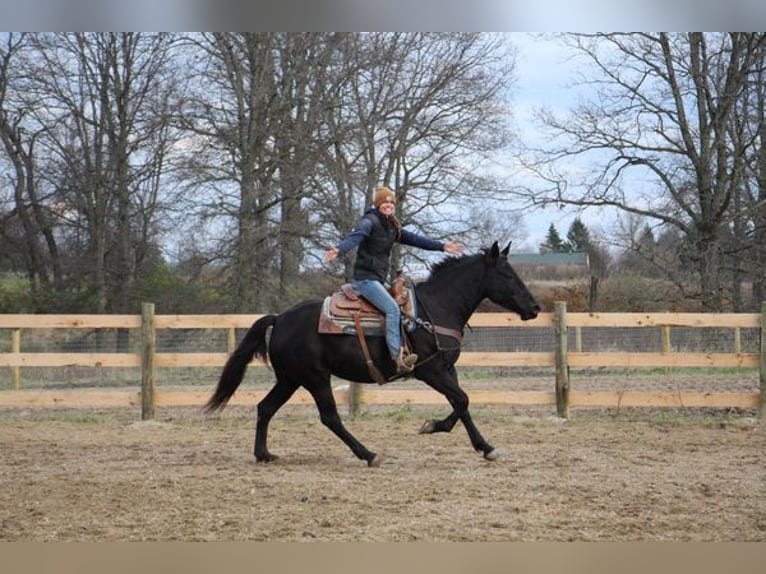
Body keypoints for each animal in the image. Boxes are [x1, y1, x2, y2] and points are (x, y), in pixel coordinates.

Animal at [204, 243, 540, 468]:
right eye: (507, 274)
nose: (535, 307)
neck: (436, 307)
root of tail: (281, 317)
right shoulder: (429, 371)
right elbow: (461, 399)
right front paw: (451, 433)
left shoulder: (447, 369)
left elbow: (462, 403)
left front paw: (472, 441)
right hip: (315, 378)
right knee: (330, 417)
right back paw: (369, 454)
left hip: (290, 379)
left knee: (265, 408)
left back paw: (264, 454)